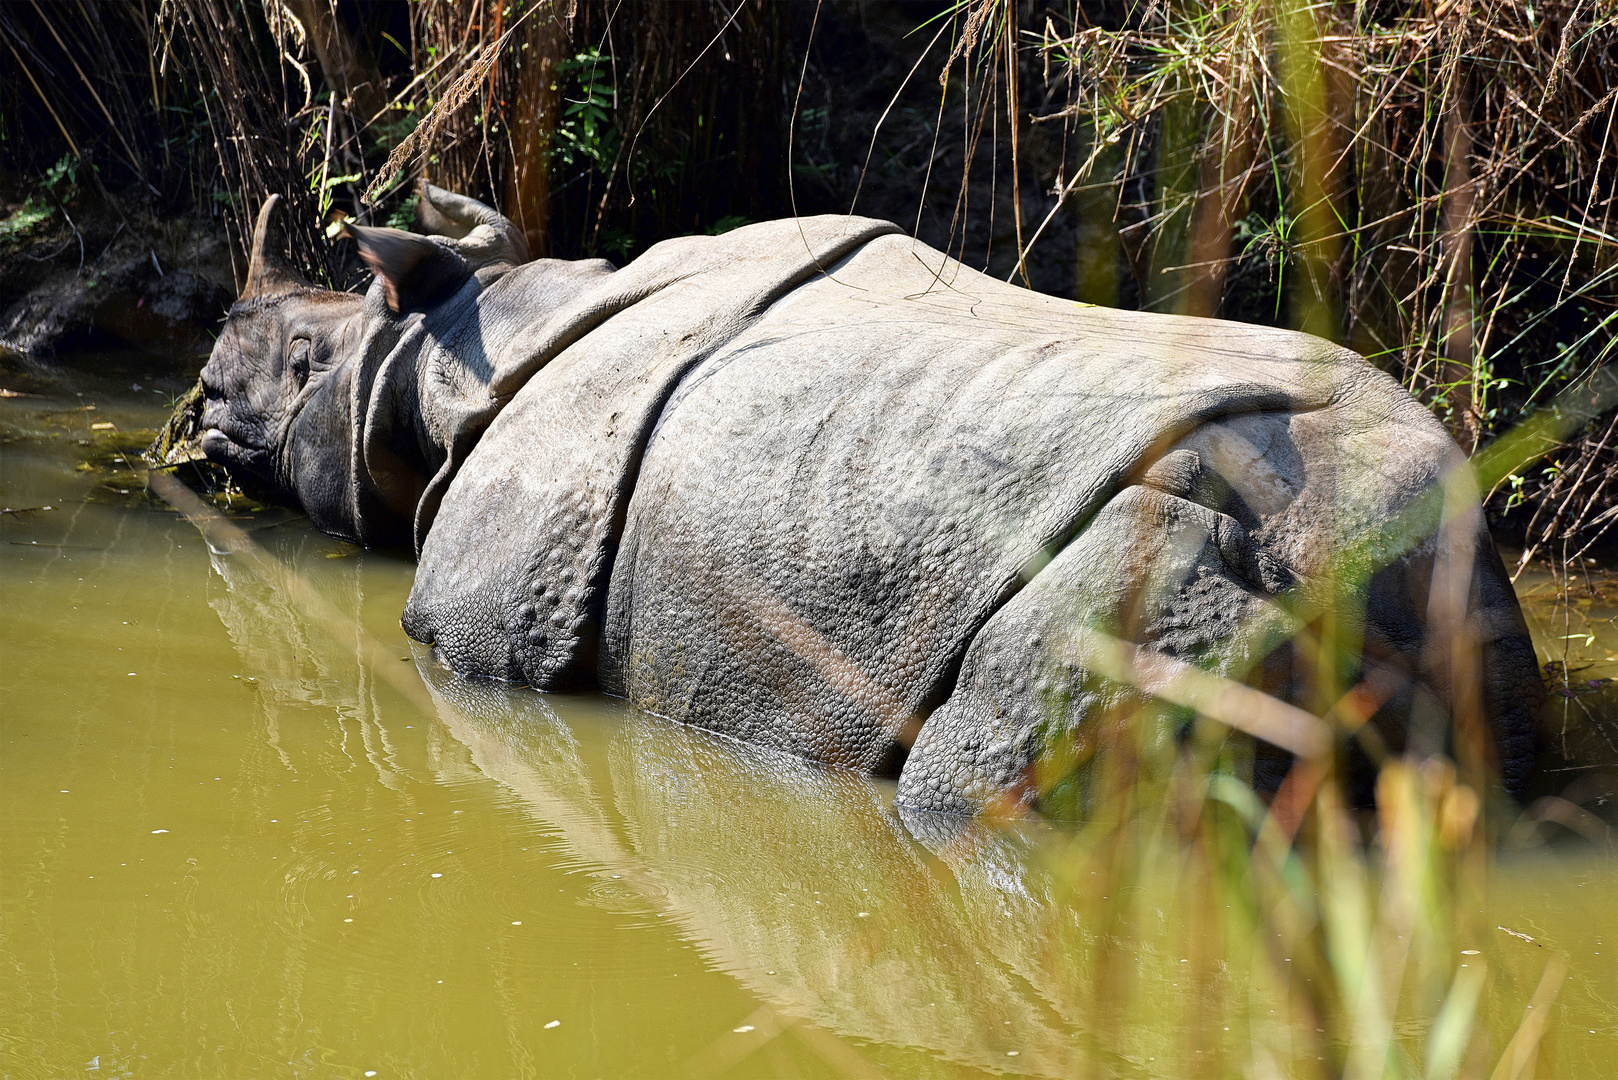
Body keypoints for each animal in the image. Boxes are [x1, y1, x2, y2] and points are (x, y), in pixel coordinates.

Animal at [177, 186, 1540, 816]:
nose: (202, 376)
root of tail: (1380, 557)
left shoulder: (488, 627)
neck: (459, 351)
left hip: (1181, 565)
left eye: (303, 364)